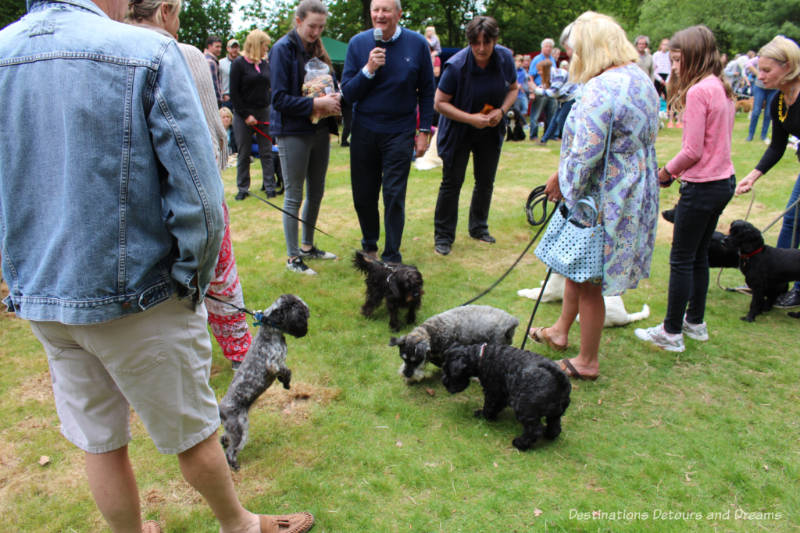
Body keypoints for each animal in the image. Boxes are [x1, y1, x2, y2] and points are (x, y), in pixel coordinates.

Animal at [219, 294, 310, 468]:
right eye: (299, 309)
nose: (308, 311)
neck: (270, 330)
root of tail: (220, 410)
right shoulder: (273, 363)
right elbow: (286, 371)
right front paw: (286, 383)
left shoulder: (279, 364)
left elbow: (286, 372)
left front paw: (285, 383)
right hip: (240, 429)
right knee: (231, 451)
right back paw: (235, 466)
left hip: (232, 430)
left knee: (224, 439)